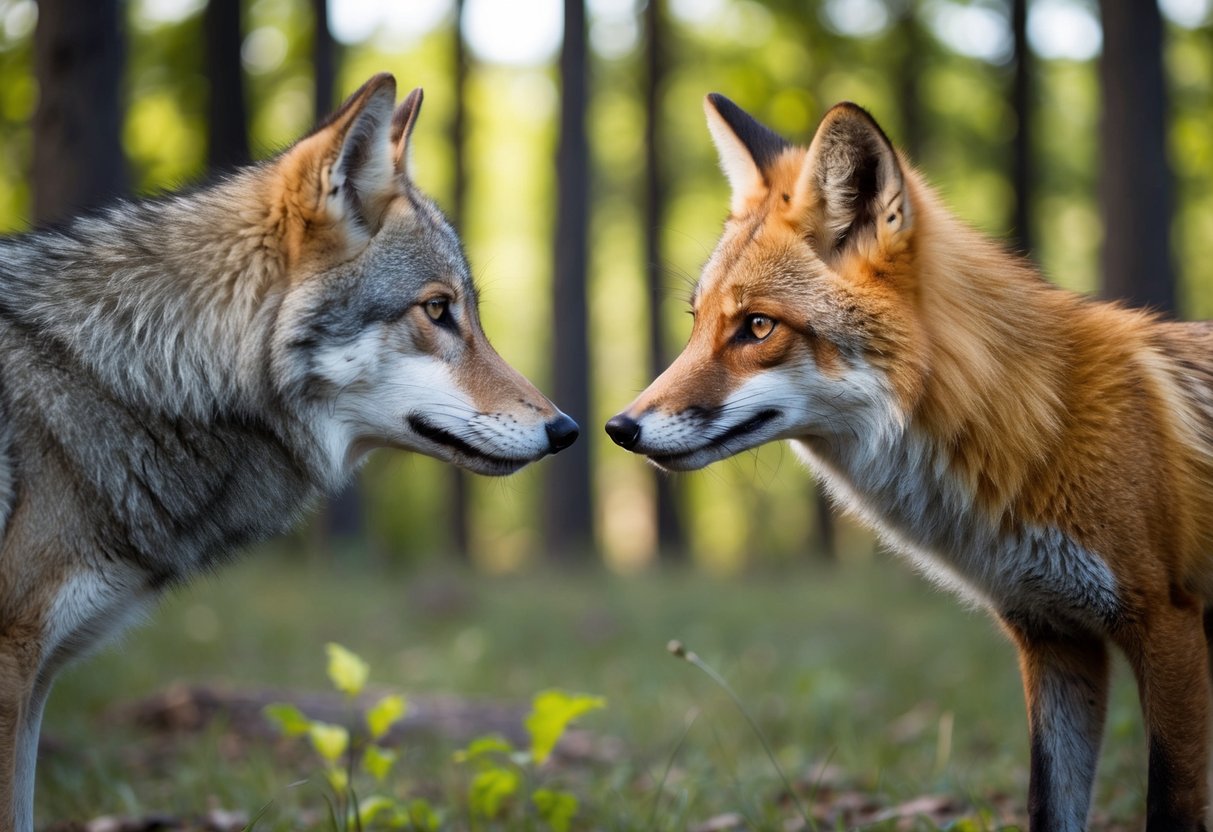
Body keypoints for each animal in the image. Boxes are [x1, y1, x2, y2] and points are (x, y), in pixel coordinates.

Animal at [0, 73, 578, 831]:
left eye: (468, 311)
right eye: (437, 310)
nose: (566, 429)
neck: (132, 371)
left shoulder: (36, 676)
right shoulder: (15, 665)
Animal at [607, 93, 1213, 832]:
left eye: (757, 327)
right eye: (695, 322)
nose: (618, 428)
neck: (1038, 426)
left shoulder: (1168, 627)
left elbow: (1171, 804)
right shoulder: (1054, 637)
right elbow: (1049, 807)